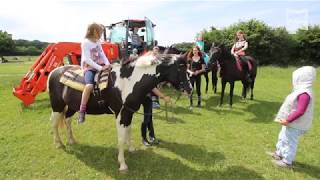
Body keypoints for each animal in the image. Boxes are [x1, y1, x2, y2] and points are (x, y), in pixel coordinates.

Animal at [47, 52, 192, 171]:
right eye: (181, 68)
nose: (189, 89)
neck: (128, 82)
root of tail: (54, 72)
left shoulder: (129, 113)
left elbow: (129, 130)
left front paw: (131, 148)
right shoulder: (121, 115)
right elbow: (121, 138)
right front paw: (122, 164)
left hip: (71, 106)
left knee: (67, 120)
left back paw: (72, 140)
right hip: (57, 106)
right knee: (53, 123)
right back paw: (58, 144)